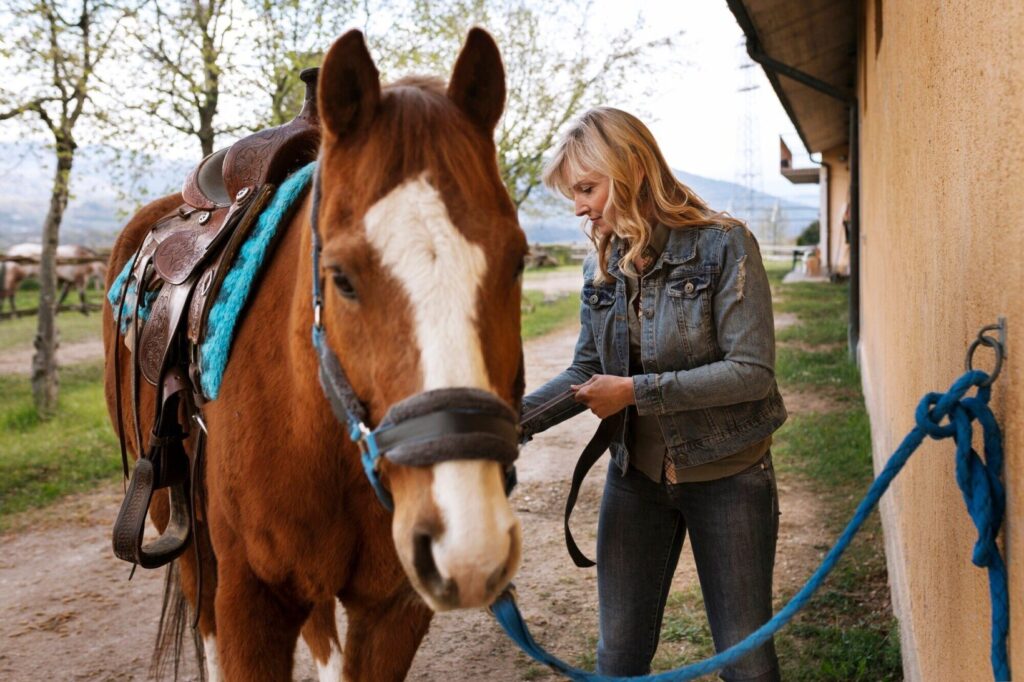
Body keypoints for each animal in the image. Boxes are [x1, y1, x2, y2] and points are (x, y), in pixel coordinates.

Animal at [101, 27, 528, 679]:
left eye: (518, 262)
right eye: (342, 278)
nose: (469, 543)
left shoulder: (392, 609)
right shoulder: (250, 602)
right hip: (178, 524)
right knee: (203, 612)